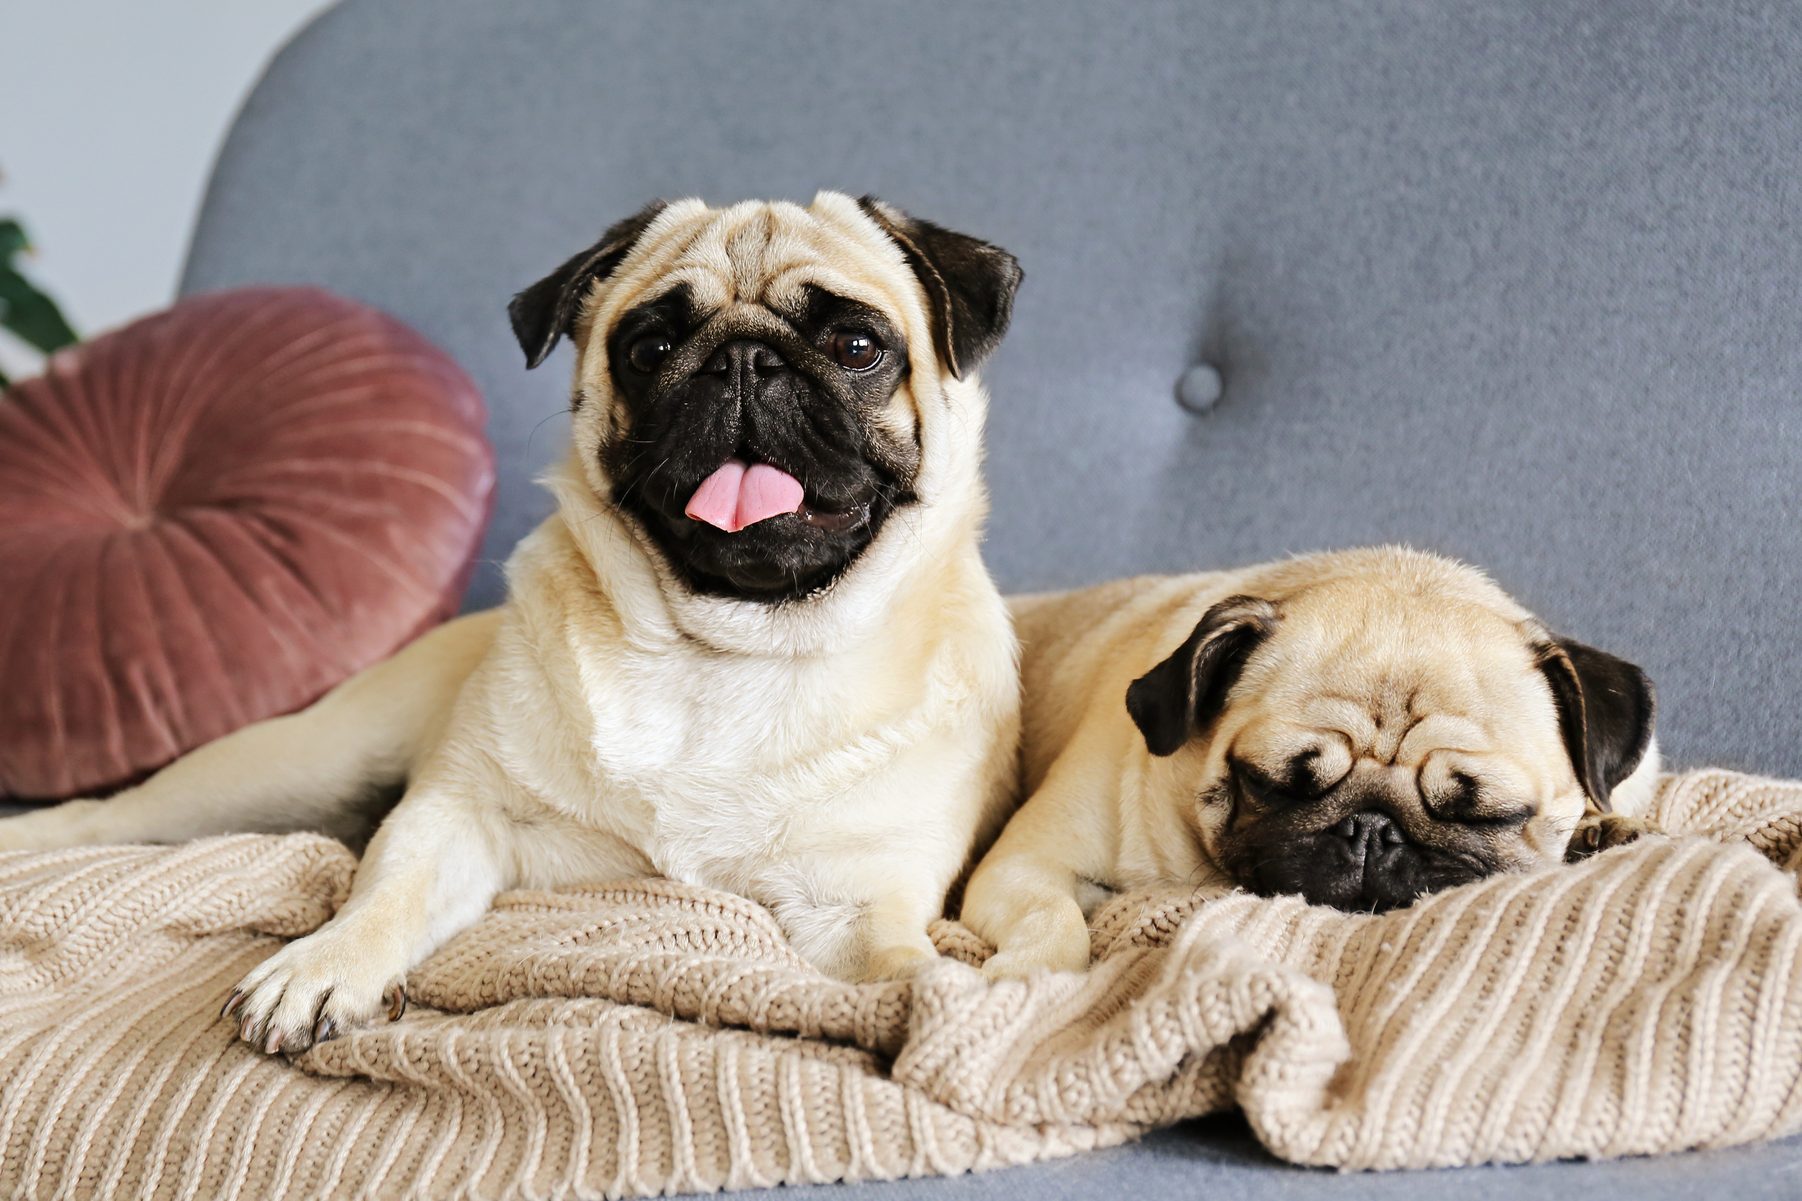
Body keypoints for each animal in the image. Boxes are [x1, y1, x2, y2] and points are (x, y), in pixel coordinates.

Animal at [3, 192, 1030, 1045]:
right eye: (649, 349)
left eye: (858, 348)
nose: (744, 358)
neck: (725, 644)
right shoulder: (459, 813)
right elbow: (383, 894)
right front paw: (324, 964)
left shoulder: (855, 903)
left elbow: (897, 964)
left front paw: (946, 1002)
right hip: (289, 766)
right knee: (112, 815)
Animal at [965, 548, 1650, 980]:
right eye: (1271, 784)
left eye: (1485, 812)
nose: (1372, 829)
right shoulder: (1025, 862)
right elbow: (1053, 916)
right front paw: (1031, 974)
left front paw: (1601, 828)